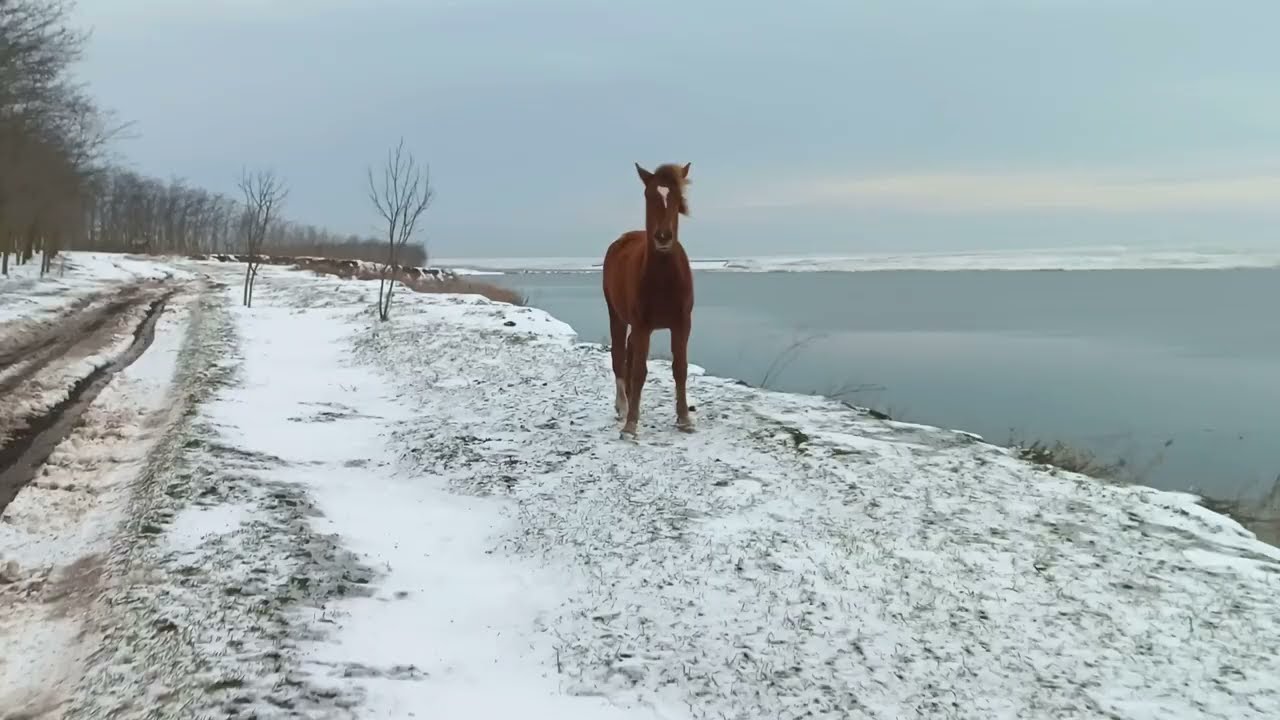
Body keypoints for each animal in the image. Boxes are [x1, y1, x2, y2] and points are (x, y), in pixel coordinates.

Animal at [601, 162, 695, 439]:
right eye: (649, 195)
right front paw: (630, 425)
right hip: (616, 315)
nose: (663, 237)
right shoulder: (642, 325)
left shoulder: (682, 324)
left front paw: (684, 418)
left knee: (629, 350)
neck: (663, 278)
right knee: (619, 355)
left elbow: (680, 368)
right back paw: (622, 406)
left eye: (676, 197)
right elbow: (639, 371)